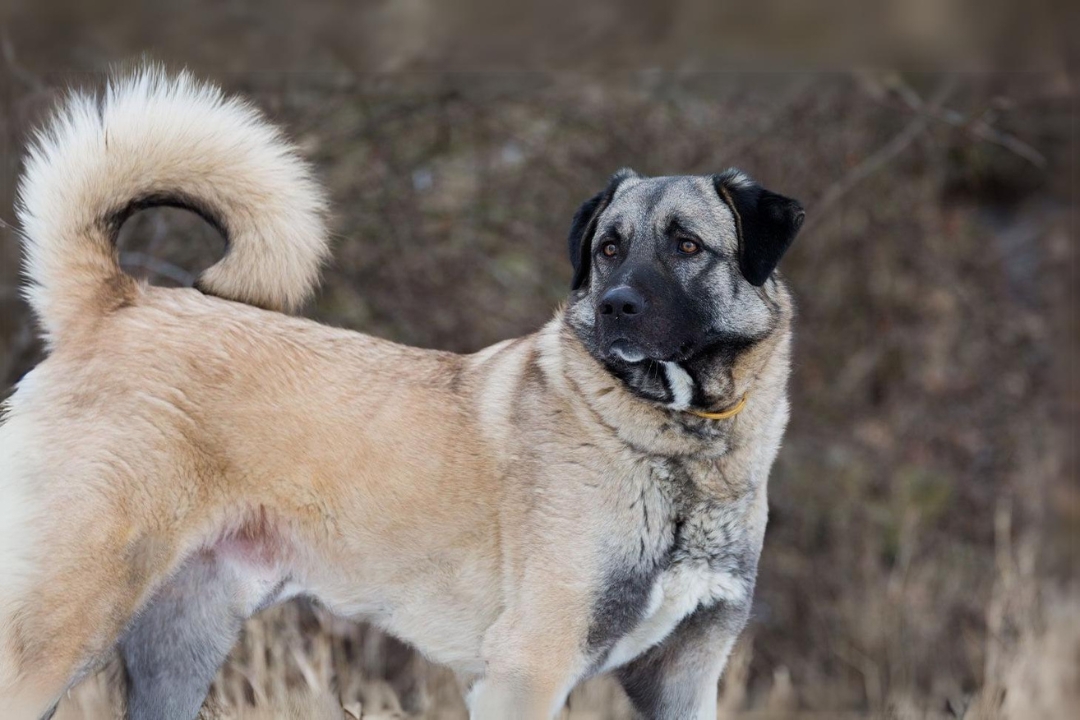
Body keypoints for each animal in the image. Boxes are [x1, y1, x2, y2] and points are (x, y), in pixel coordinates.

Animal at [0, 69, 807, 720]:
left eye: (687, 246)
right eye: (608, 248)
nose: (615, 307)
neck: (679, 448)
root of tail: (117, 303)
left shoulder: (683, 676)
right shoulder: (529, 668)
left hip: (177, 647)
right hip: (60, 625)